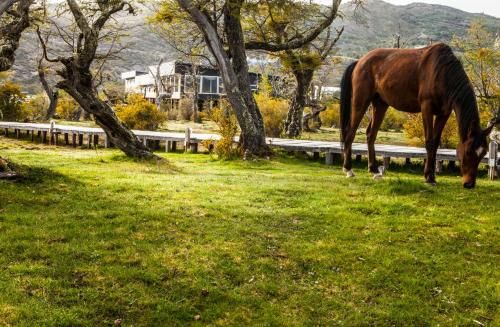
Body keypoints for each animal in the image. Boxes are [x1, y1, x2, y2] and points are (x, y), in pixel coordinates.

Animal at [340, 42, 496, 188]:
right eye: (468, 152)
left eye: (483, 153)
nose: (469, 184)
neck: (442, 72)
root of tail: (360, 61)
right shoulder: (426, 108)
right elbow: (429, 141)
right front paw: (429, 177)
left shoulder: (444, 113)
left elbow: (436, 142)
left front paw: (431, 175)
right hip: (361, 102)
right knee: (351, 132)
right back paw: (348, 170)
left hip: (380, 104)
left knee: (370, 135)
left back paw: (374, 170)